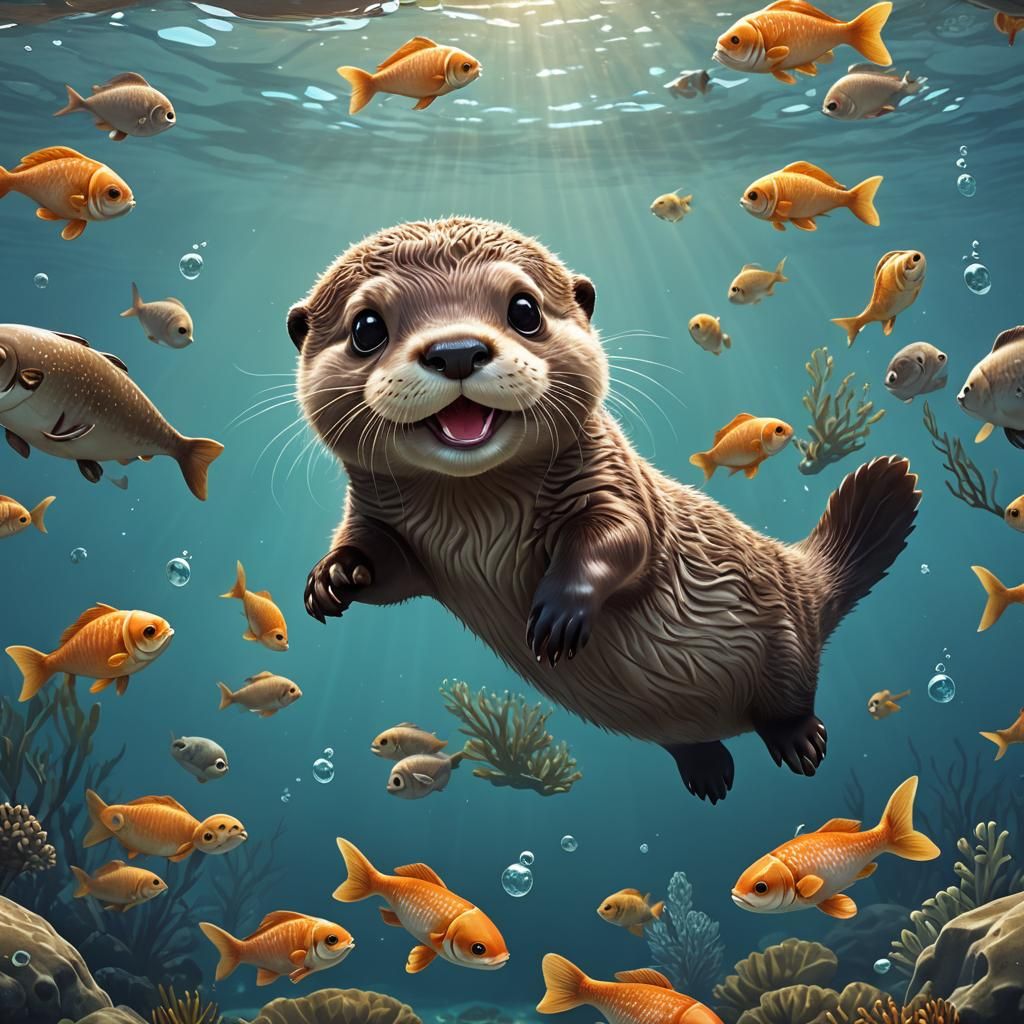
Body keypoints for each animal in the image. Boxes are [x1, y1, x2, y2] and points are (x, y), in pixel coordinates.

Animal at [288, 217, 919, 803]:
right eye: (366, 327)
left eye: (524, 309)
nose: (457, 350)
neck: (476, 522)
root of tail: (801, 577)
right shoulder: (382, 518)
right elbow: (388, 566)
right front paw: (334, 576)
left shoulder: (613, 484)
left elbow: (618, 539)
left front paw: (559, 611)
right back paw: (707, 771)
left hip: (783, 639)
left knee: (793, 695)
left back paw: (800, 741)